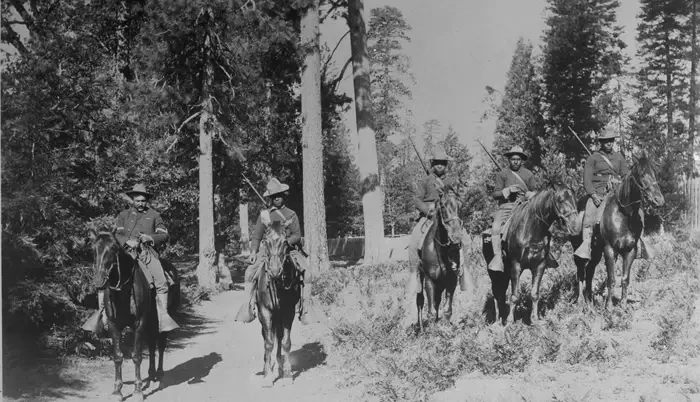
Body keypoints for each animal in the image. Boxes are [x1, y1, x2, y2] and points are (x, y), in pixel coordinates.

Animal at [91, 232, 179, 402]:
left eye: (113, 248)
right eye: (94, 248)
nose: (99, 281)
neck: (123, 291)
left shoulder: (139, 324)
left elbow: (136, 356)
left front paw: (138, 391)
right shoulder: (113, 325)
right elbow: (118, 356)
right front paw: (117, 391)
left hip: (162, 319)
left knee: (161, 344)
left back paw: (160, 375)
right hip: (151, 322)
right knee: (151, 345)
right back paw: (151, 374)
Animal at [255, 221, 302, 386]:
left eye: (285, 242)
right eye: (265, 242)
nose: (275, 271)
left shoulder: (288, 311)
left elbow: (286, 342)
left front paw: (287, 374)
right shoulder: (265, 311)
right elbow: (268, 342)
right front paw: (268, 376)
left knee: (280, 337)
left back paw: (279, 364)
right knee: (266, 337)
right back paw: (266, 366)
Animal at [415, 184, 463, 331]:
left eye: (461, 205)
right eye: (442, 206)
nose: (456, 239)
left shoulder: (451, 279)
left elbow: (447, 309)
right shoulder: (429, 280)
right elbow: (430, 310)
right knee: (420, 302)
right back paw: (421, 328)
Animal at [483, 188, 579, 325]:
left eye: (575, 199)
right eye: (560, 200)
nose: (576, 226)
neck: (532, 230)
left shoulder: (539, 266)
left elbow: (534, 294)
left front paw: (535, 319)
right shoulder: (516, 266)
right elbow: (515, 296)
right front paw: (510, 322)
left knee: (501, 291)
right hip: (494, 272)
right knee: (496, 291)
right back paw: (497, 320)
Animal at [570, 154, 664, 308]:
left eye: (654, 173)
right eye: (642, 174)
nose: (659, 201)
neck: (623, 215)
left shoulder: (630, 251)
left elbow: (625, 279)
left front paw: (623, 305)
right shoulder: (609, 250)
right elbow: (611, 279)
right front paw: (608, 307)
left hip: (596, 252)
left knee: (589, 271)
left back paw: (590, 301)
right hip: (580, 251)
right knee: (581, 272)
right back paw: (581, 301)